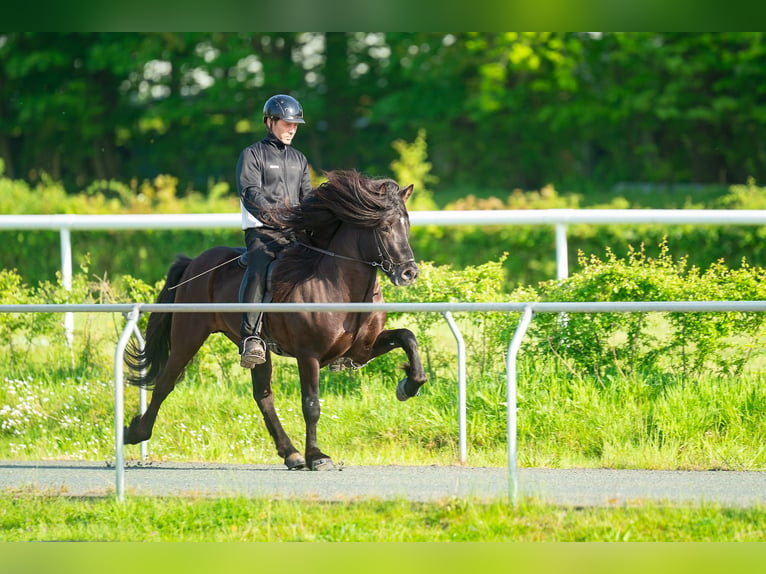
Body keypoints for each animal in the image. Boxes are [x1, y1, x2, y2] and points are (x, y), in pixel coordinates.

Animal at [123, 170, 428, 472]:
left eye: (407, 224)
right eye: (385, 227)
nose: (409, 273)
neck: (341, 289)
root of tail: (194, 263)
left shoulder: (362, 349)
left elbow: (408, 337)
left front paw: (408, 386)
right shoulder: (308, 355)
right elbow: (311, 405)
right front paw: (317, 456)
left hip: (256, 349)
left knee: (263, 395)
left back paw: (290, 453)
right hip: (189, 335)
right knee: (166, 381)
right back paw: (135, 432)